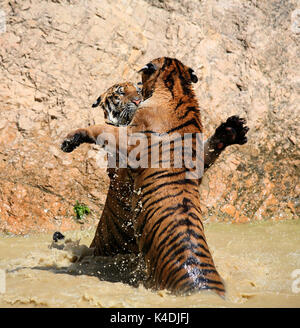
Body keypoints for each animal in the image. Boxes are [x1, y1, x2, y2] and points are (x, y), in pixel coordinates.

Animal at [61, 56, 248, 298]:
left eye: (138, 87)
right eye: (120, 92)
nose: (137, 99)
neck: (179, 89)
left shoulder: (129, 140)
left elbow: (100, 129)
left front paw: (70, 139)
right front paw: (231, 130)